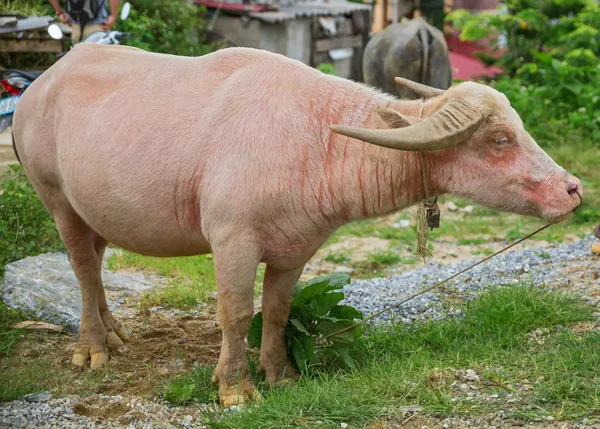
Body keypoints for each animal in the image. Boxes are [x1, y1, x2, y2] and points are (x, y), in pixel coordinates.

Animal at [11, 45, 580, 406]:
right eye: (500, 140)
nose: (573, 189)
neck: (315, 140)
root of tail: (39, 86)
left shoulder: (297, 247)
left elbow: (279, 311)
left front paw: (279, 374)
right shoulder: (232, 240)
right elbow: (237, 314)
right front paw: (234, 388)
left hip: (97, 210)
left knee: (98, 260)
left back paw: (113, 329)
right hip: (57, 200)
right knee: (83, 268)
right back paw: (92, 348)